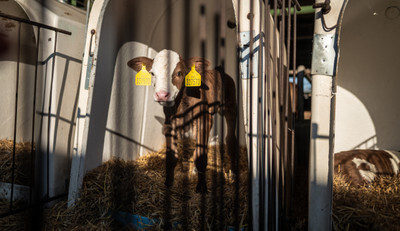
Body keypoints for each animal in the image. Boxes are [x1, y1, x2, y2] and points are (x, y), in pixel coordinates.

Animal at [126, 49, 236, 192]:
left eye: (179, 73)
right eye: (152, 73)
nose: (161, 95)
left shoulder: (203, 121)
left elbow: (201, 157)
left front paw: (201, 188)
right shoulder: (170, 125)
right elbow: (172, 157)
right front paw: (168, 183)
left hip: (230, 106)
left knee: (230, 139)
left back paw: (233, 174)